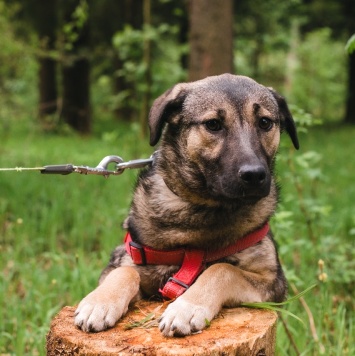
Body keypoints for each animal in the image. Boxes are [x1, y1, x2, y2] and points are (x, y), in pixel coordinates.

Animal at [74, 73, 300, 336]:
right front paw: (99, 302)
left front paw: (188, 307)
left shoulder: (273, 282)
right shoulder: (130, 259)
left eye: (265, 122)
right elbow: (125, 271)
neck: (204, 210)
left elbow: (222, 269)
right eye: (213, 124)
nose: (254, 175)